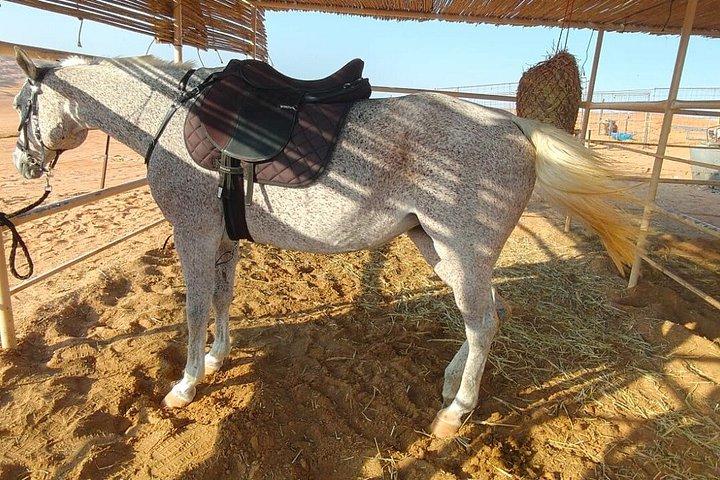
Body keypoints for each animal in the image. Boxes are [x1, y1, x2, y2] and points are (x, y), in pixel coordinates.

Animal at [10, 48, 635, 438]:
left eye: (21, 105)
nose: (22, 163)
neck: (163, 111)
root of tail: (516, 128)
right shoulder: (223, 238)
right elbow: (222, 299)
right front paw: (217, 357)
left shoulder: (194, 232)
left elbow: (192, 309)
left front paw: (186, 384)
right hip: (439, 248)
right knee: (484, 315)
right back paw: (451, 382)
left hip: (461, 250)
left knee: (482, 322)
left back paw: (455, 413)